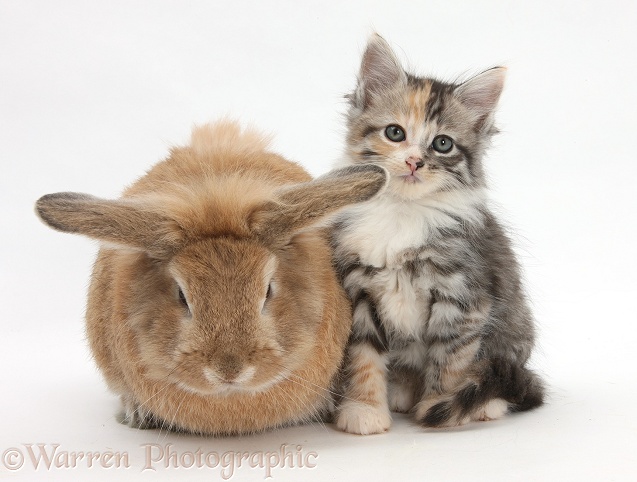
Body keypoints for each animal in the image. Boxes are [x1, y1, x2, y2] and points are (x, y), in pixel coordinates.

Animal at [330, 34, 544, 434]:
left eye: (442, 144)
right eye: (395, 133)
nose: (415, 161)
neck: (403, 210)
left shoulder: (463, 295)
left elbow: (451, 357)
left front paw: (439, 406)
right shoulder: (359, 291)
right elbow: (363, 355)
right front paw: (364, 410)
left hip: (513, 330)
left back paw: (484, 404)